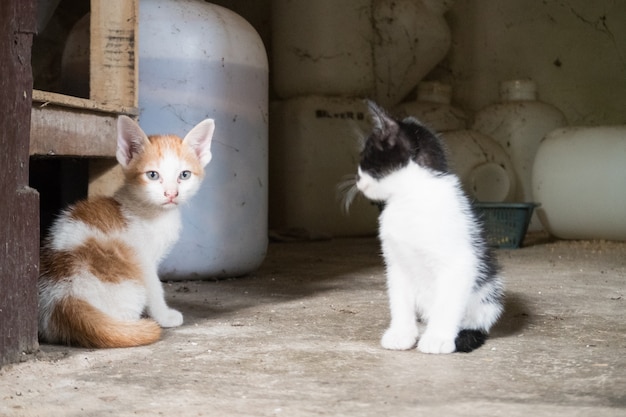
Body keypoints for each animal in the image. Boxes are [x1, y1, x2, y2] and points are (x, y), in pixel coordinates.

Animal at [39, 114, 214, 348]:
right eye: (152, 175)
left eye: (184, 175)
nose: (171, 194)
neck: (148, 209)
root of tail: (64, 299)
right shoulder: (144, 261)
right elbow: (155, 288)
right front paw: (164, 316)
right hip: (131, 286)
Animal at [352, 102, 502, 352]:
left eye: (367, 161)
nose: (358, 181)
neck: (410, 197)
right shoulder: (396, 263)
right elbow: (399, 300)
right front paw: (401, 334)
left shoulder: (460, 262)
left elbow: (447, 303)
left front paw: (438, 338)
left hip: (487, 294)